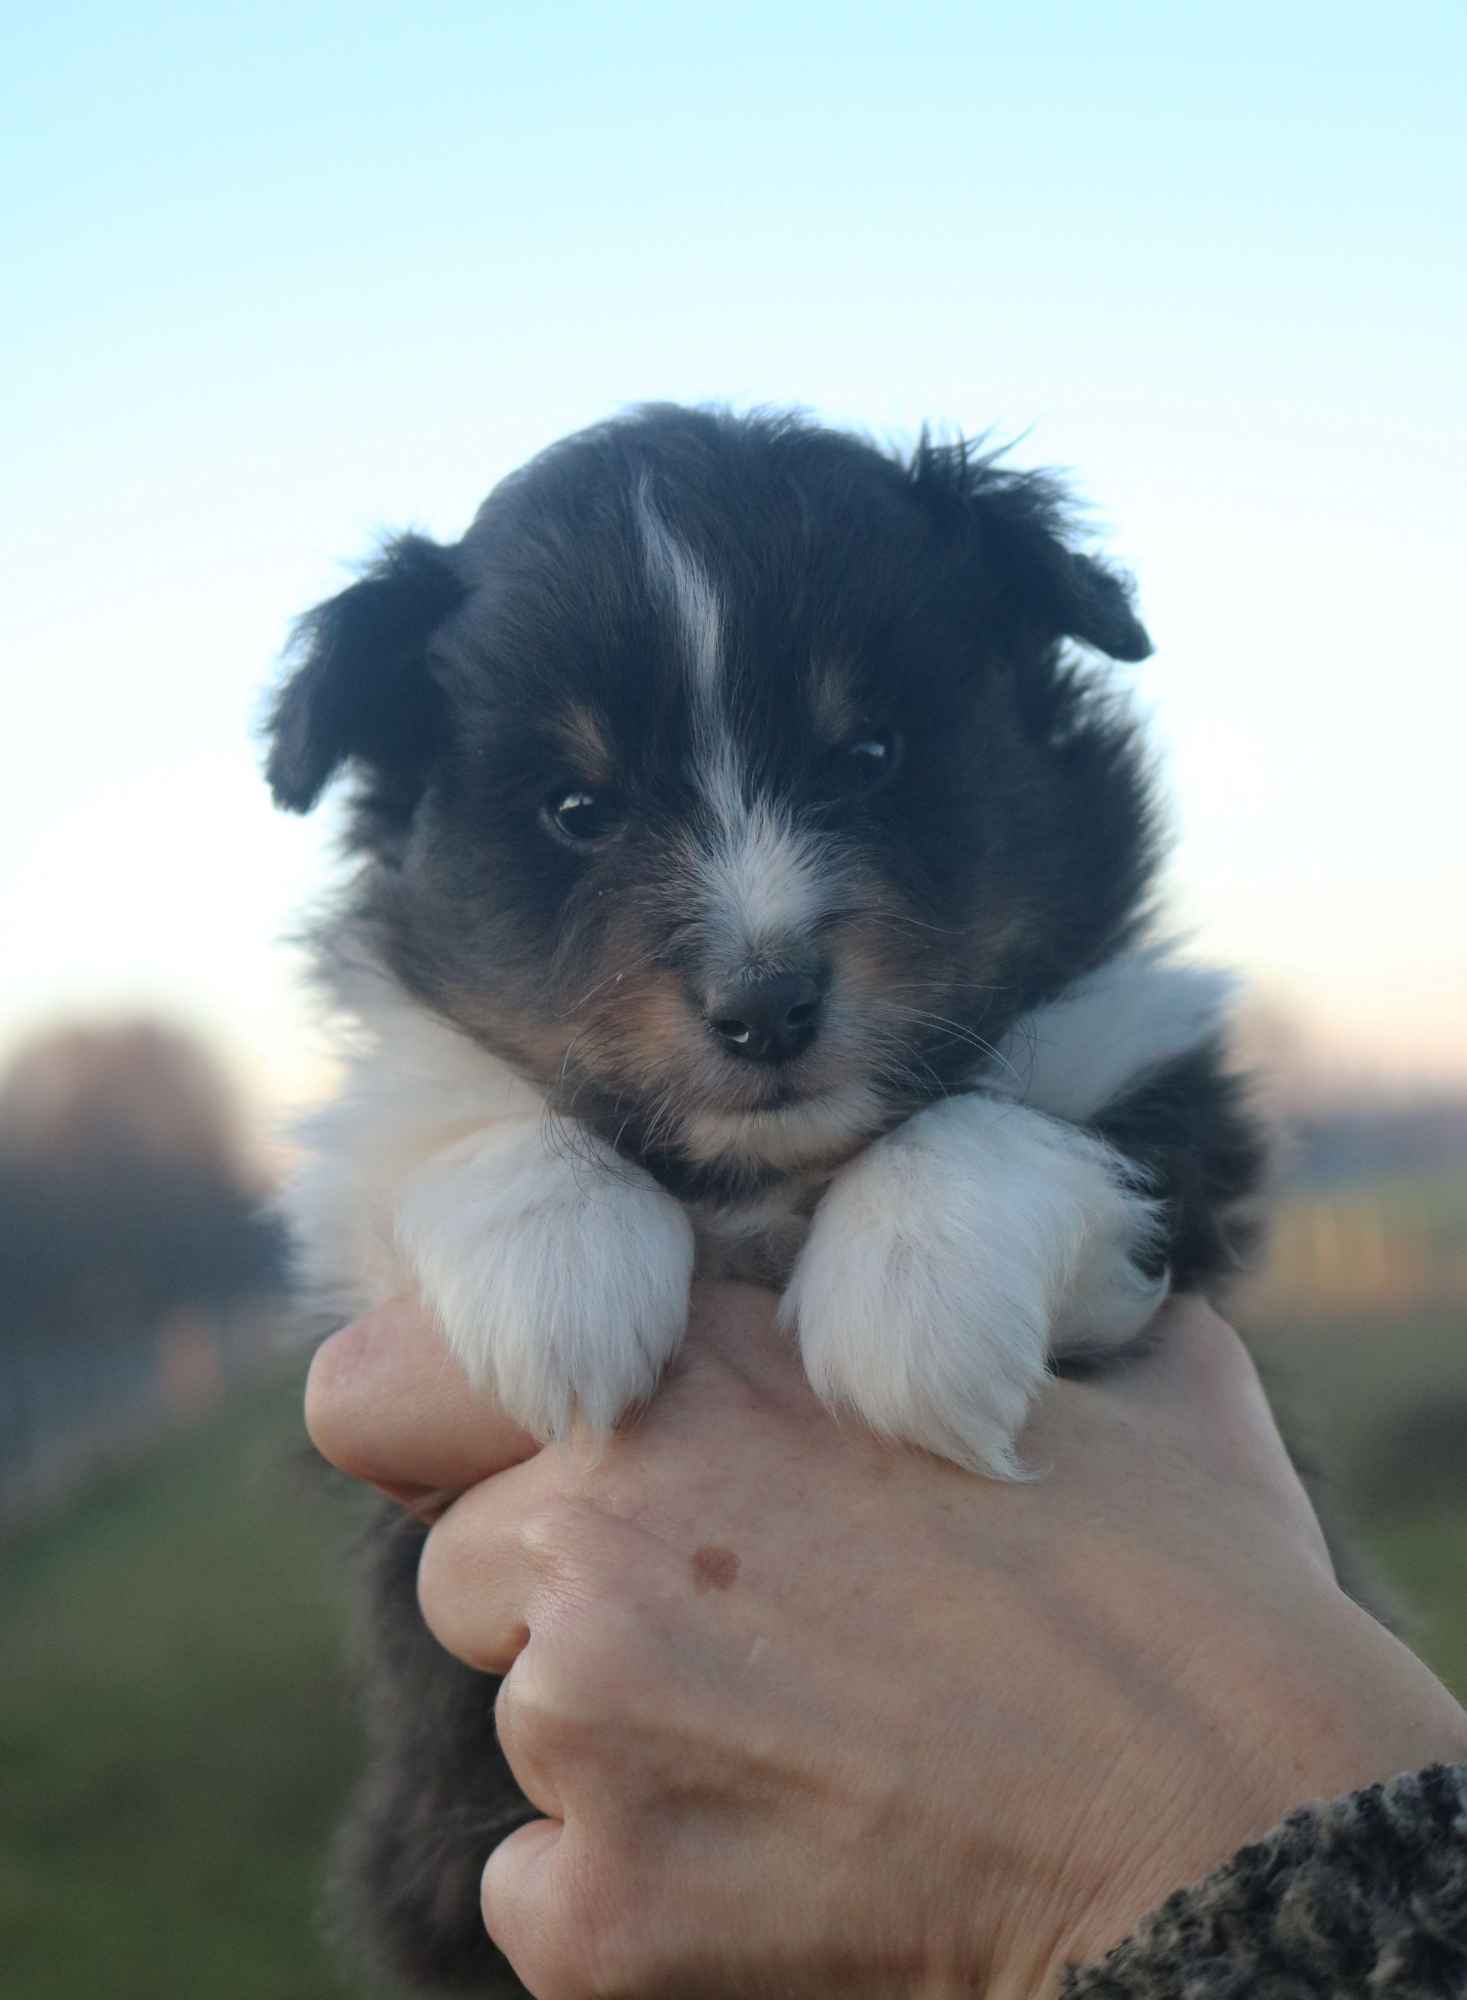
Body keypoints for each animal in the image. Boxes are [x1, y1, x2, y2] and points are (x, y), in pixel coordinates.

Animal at [269, 402, 1271, 1984]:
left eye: (866, 752)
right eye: (575, 807)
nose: (766, 1004)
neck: (758, 1175)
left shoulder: (1157, 1087)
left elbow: (999, 1114)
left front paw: (915, 1305)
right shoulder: (367, 1191)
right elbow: (459, 1117)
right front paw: (560, 1280)